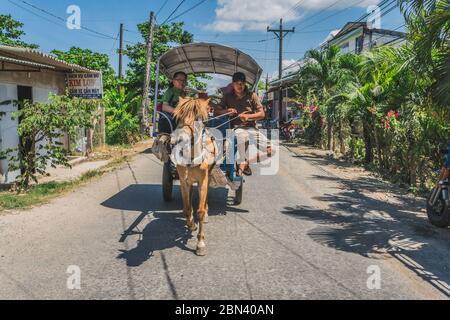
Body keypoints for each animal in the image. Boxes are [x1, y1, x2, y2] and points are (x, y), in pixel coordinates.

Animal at [171, 96, 216, 256]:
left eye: (198, 118)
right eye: (179, 116)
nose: (178, 139)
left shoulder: (203, 180)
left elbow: (200, 211)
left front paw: (200, 243)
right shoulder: (184, 181)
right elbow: (186, 208)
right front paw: (190, 224)